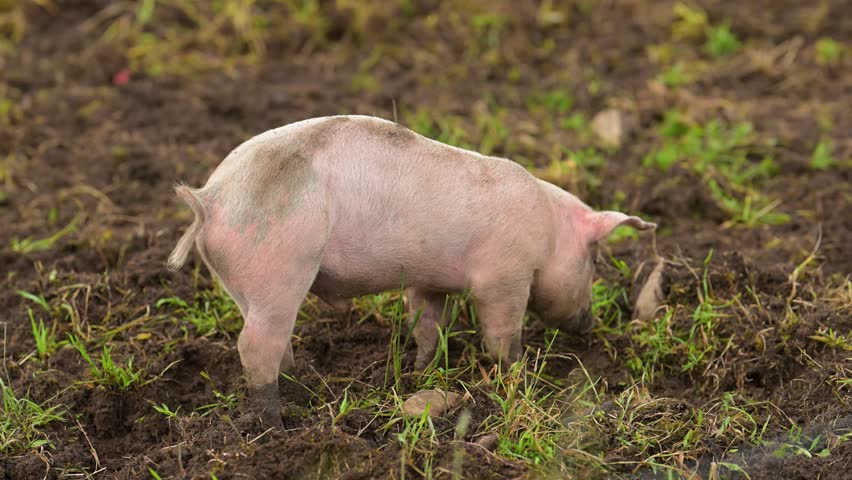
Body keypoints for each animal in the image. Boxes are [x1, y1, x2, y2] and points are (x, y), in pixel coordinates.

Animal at [167, 115, 656, 428]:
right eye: (594, 261)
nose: (589, 323)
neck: (549, 229)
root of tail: (209, 200)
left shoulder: (426, 280)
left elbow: (427, 324)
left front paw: (423, 371)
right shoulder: (505, 276)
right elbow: (502, 332)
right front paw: (518, 372)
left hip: (247, 286)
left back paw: (301, 393)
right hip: (281, 265)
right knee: (254, 346)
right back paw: (276, 425)